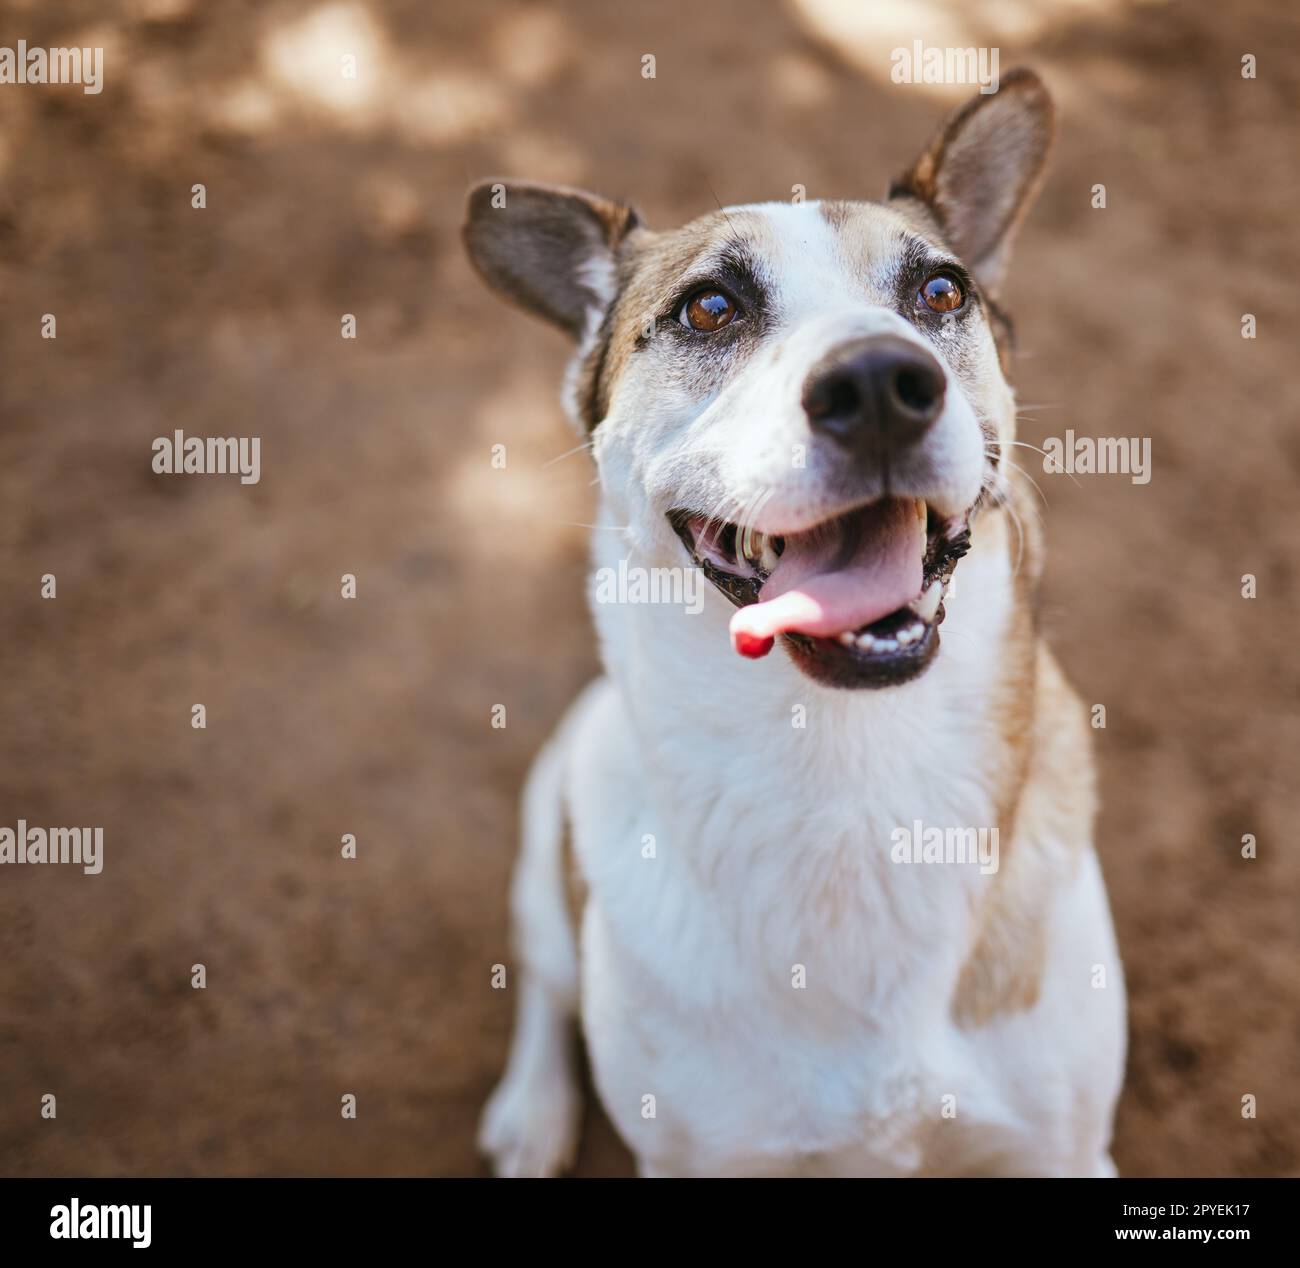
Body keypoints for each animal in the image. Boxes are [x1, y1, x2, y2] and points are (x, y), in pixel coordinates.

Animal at [462, 69, 1123, 1180]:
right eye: (709, 307)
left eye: (940, 293)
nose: (880, 385)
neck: (846, 776)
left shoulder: (1061, 1151)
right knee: (545, 977)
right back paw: (532, 1109)